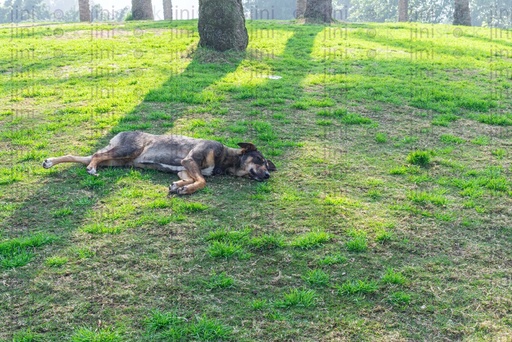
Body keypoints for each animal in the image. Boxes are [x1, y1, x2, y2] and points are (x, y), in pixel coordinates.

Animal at [43, 131, 276, 195]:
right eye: (259, 159)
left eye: (267, 165)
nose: (267, 175)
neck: (225, 158)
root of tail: (119, 134)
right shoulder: (189, 160)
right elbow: (202, 181)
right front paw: (185, 189)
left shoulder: (184, 169)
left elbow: (194, 179)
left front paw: (178, 186)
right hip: (127, 150)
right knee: (95, 157)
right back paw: (91, 169)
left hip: (116, 160)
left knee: (81, 156)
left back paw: (50, 162)